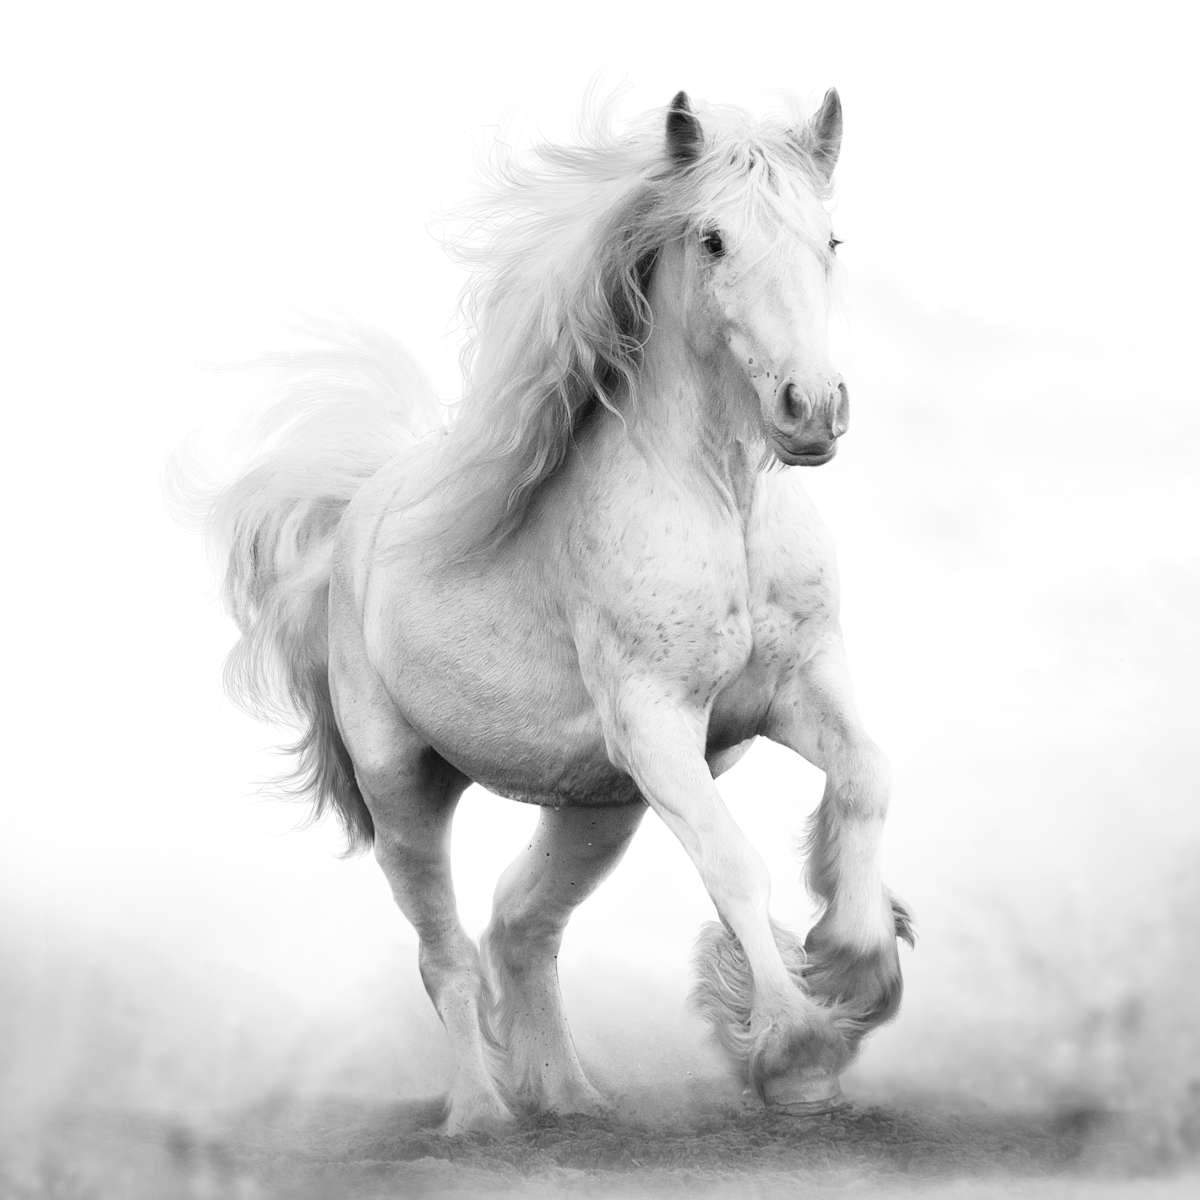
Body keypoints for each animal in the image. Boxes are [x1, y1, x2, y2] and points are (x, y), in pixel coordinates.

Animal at [205, 89, 913, 1134]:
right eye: (712, 239)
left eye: (830, 239)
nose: (812, 410)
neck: (724, 506)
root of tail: (358, 520)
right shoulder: (658, 723)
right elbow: (733, 865)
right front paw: (798, 1051)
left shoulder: (795, 689)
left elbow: (866, 776)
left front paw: (857, 958)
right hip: (406, 793)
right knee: (447, 953)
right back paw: (481, 1118)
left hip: (599, 809)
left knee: (520, 924)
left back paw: (574, 1102)